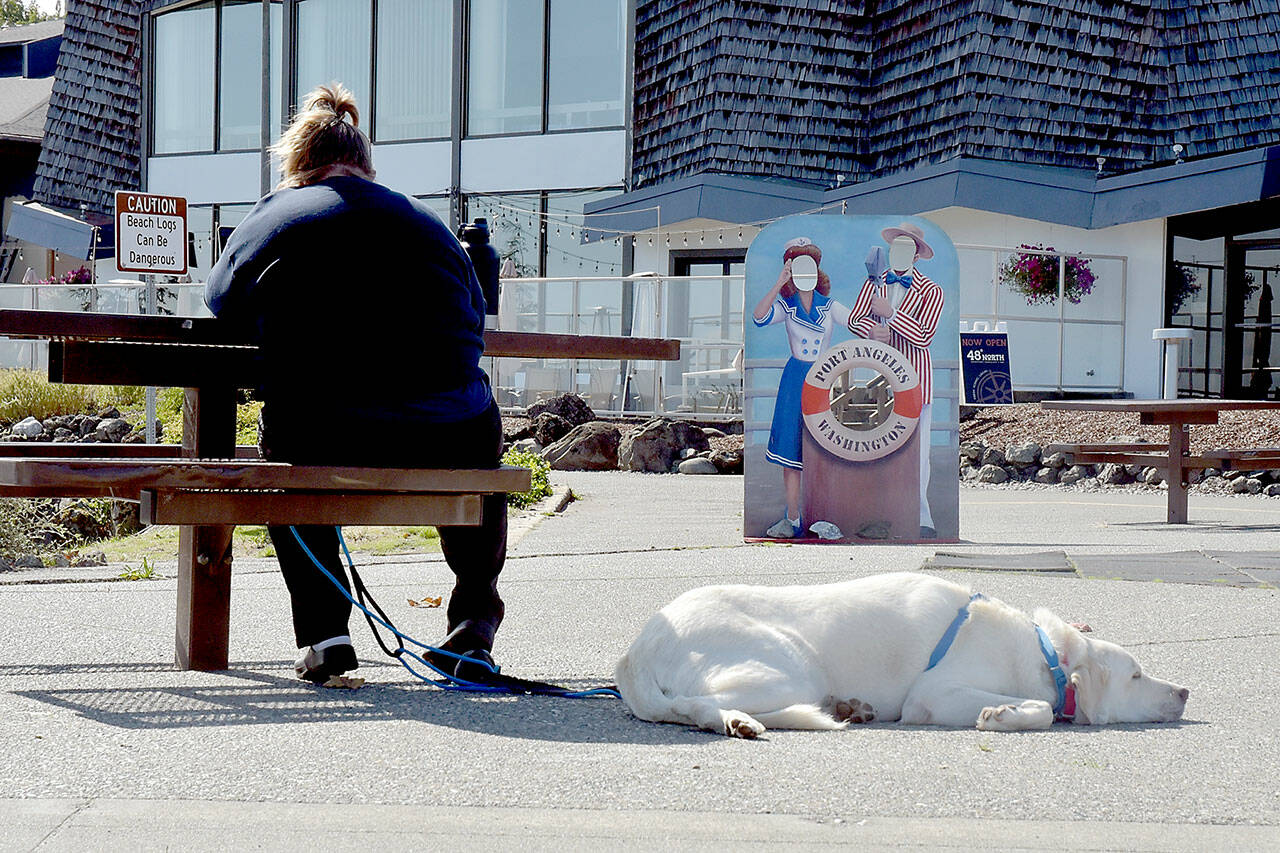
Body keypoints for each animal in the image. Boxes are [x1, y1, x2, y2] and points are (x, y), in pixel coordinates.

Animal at [611, 568, 1187, 732]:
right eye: (1136, 675)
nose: (1185, 691)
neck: (1046, 655)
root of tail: (636, 651)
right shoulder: (932, 695)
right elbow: (1041, 710)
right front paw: (1002, 715)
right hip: (790, 671)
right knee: (697, 707)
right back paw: (737, 722)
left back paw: (847, 708)